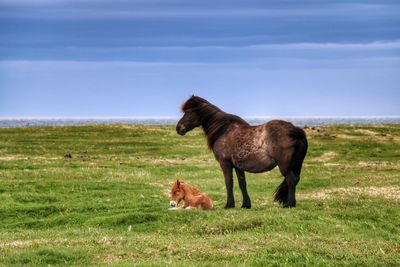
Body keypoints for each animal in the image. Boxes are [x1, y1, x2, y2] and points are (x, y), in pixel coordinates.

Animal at [177, 96, 308, 209]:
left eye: (189, 112)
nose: (178, 128)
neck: (224, 130)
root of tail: (296, 130)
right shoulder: (238, 166)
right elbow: (242, 184)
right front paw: (246, 204)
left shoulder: (225, 163)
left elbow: (229, 183)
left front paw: (229, 205)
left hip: (284, 165)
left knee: (291, 180)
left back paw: (290, 204)